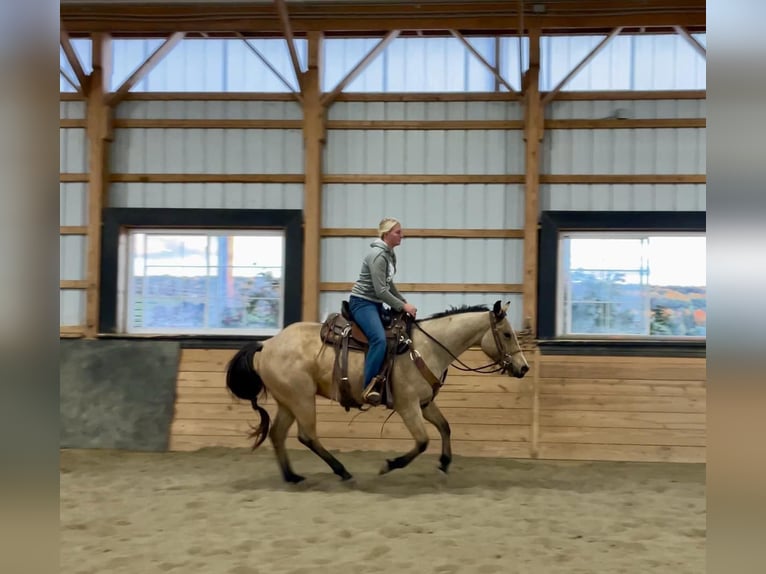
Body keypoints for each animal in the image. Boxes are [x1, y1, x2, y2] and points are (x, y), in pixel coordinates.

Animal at [225, 302, 532, 486]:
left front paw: (444, 463)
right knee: (307, 436)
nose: (524, 367)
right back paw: (342, 471)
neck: (426, 347)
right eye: (506, 334)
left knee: (278, 434)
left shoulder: (424, 403)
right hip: (301, 399)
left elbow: (445, 427)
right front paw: (390, 465)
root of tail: (267, 344)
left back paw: (292, 476)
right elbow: (422, 441)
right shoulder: (408, 406)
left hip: (288, 401)